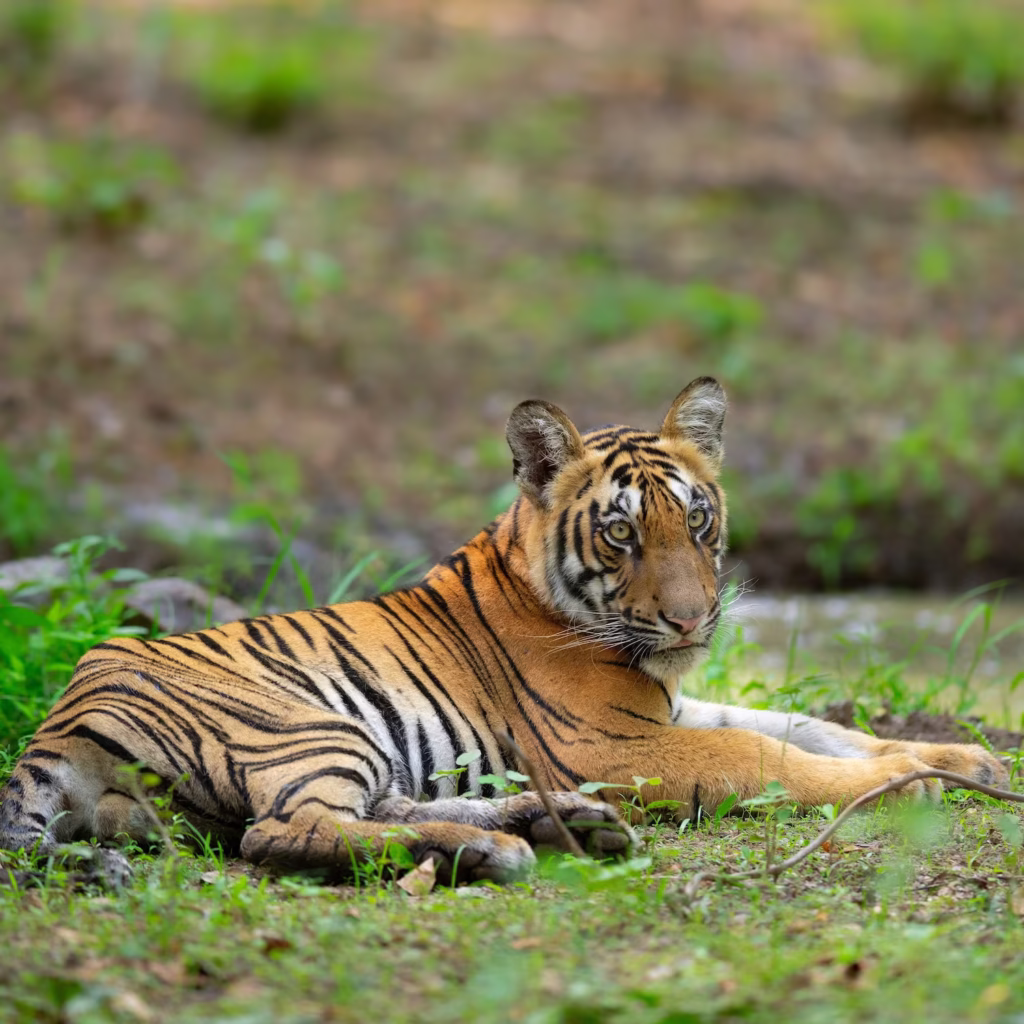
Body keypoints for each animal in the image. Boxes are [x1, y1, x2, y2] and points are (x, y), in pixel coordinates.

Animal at [0, 377, 1008, 886]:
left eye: (698, 520)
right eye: (621, 533)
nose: (692, 618)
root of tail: (56, 721)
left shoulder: (672, 709)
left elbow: (812, 728)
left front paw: (964, 760)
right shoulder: (616, 741)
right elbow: (770, 758)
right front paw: (910, 785)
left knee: (373, 811)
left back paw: (540, 832)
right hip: (305, 724)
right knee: (284, 832)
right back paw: (507, 848)